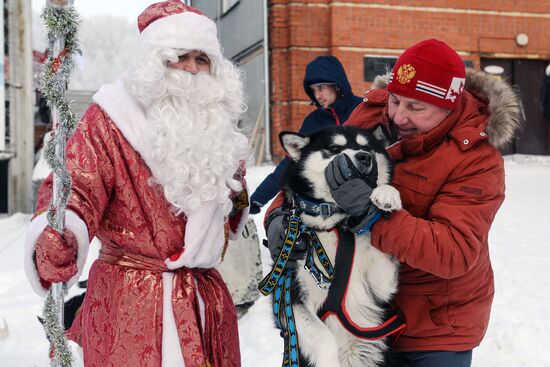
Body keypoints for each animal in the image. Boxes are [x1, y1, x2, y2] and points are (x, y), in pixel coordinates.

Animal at [276, 126, 406, 367]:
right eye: (335, 148)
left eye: (367, 148)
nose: (364, 157)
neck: (333, 223)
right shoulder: (291, 299)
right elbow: (324, 337)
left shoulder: (382, 284)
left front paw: (386, 193)